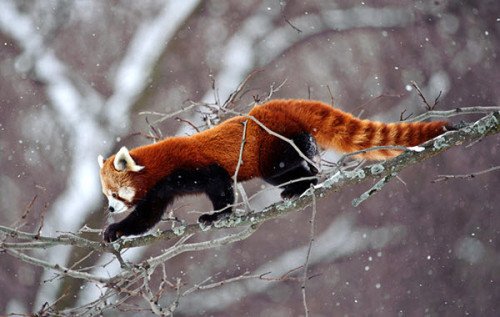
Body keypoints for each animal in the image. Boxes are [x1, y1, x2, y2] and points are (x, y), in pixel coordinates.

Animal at [97, 97, 450, 241]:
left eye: (114, 192)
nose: (111, 209)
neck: (160, 166)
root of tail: (280, 105)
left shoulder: (192, 166)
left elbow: (221, 185)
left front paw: (216, 216)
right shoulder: (160, 190)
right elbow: (147, 216)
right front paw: (116, 231)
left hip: (272, 148)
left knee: (287, 169)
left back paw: (302, 185)